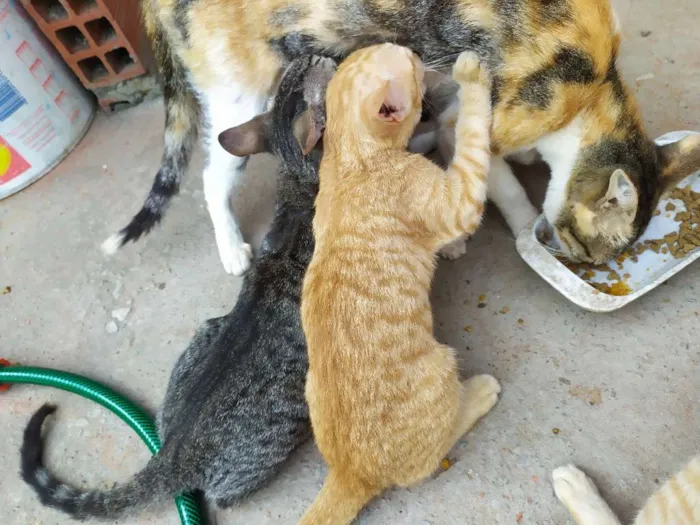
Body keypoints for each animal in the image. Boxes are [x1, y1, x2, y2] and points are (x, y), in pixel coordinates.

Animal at [20, 55, 338, 520]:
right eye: (315, 71)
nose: (317, 55)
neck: (297, 186)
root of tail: (169, 453)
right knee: (225, 496)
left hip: (204, 332)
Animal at [102, 2, 700, 274]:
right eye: (586, 249)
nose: (576, 262)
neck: (592, 87)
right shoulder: (466, 113)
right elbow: (500, 186)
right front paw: (517, 225)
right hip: (241, 92)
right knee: (211, 175)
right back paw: (231, 249)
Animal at [298, 45, 500, 524]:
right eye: (411, 65)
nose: (420, 55)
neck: (350, 159)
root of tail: (349, 472)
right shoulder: (457, 200)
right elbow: (472, 140)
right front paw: (472, 81)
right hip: (442, 368)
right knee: (436, 449)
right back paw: (478, 394)